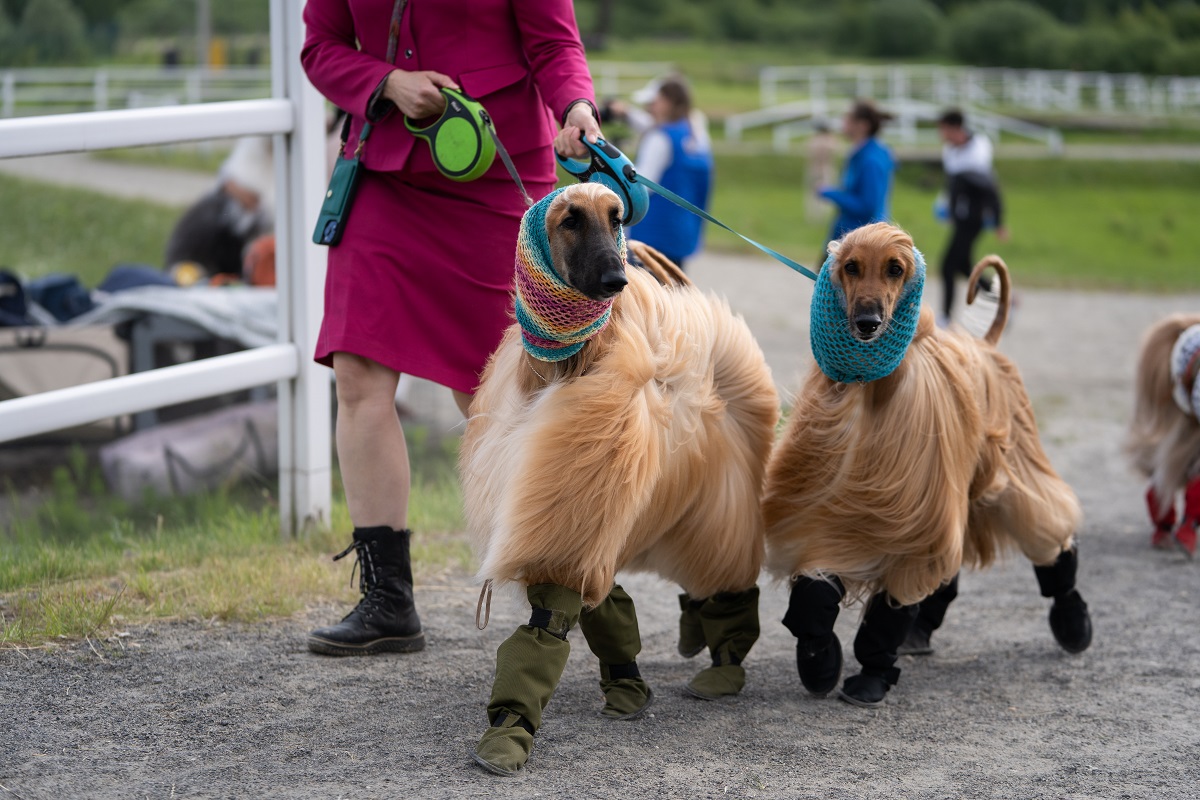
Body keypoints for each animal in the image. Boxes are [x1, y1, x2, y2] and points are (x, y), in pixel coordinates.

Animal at [458, 183, 777, 777]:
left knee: (728, 580)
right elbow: (581, 607)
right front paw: (512, 730)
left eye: (618, 218)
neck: (567, 367)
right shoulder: (575, 510)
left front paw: (509, 732)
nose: (617, 280)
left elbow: (557, 612)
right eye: (571, 220)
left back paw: (723, 665)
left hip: (719, 510)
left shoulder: (573, 500)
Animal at [763, 221, 1094, 710]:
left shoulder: (911, 516)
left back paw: (1073, 623)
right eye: (851, 266)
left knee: (1047, 527)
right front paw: (819, 660)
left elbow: (888, 610)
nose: (867, 323)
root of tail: (986, 345)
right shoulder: (827, 507)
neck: (872, 396)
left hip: (1010, 466)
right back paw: (920, 633)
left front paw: (872, 677)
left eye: (896, 268)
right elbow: (813, 598)